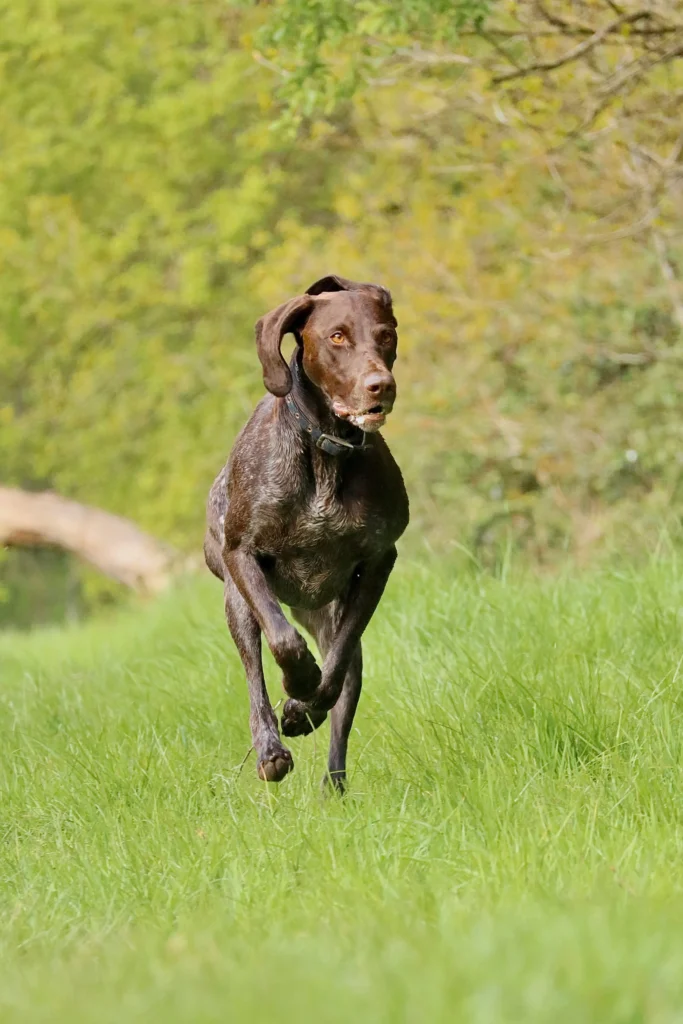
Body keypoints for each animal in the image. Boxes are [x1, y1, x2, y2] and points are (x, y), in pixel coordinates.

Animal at [202, 274, 405, 790]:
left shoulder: (379, 562)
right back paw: (270, 749)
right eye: (337, 336)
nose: (381, 386)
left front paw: (304, 706)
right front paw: (298, 684)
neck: (326, 453)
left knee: (341, 699)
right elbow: (283, 641)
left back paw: (330, 777)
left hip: (331, 622)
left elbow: (334, 669)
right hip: (236, 602)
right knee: (255, 673)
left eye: (386, 335)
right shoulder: (241, 554)